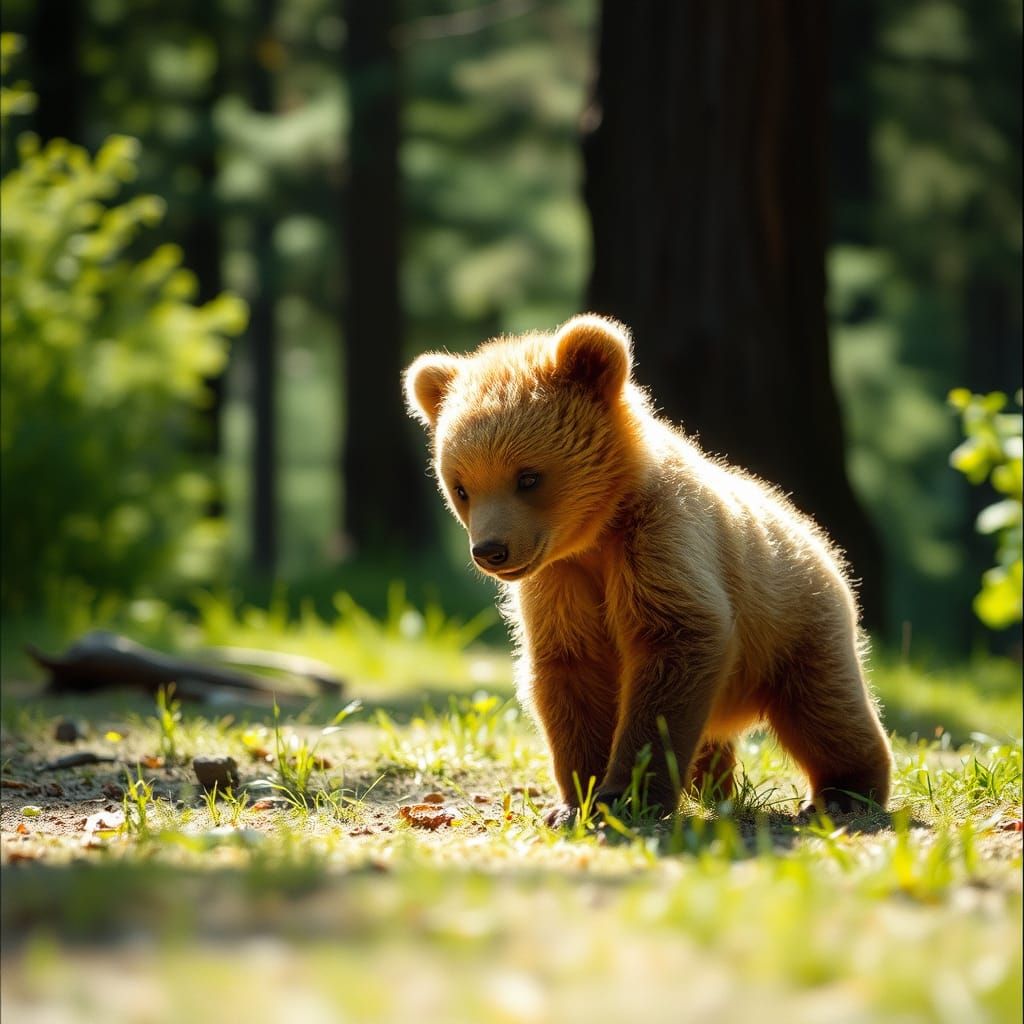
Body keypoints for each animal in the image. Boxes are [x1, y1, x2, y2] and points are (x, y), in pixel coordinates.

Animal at [404, 313, 893, 823]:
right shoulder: (561, 581)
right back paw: (712, 786)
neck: (597, 534)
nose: (491, 550)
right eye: (461, 486)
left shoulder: (662, 544)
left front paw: (626, 795)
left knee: (824, 710)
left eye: (528, 476)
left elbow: (672, 651)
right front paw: (574, 800)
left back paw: (843, 793)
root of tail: (817, 538)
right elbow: (569, 671)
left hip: (793, 624)